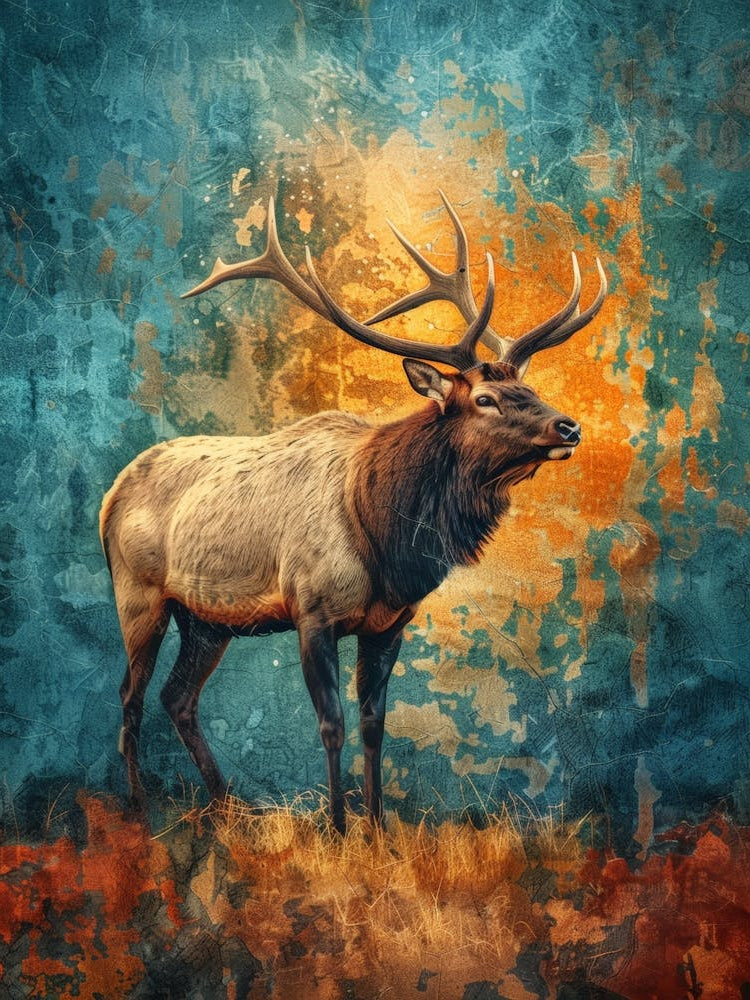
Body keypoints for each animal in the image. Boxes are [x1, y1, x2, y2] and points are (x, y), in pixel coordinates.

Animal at [100, 191, 607, 833]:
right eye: (485, 399)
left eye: (531, 389)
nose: (569, 426)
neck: (383, 538)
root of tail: (109, 495)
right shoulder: (311, 610)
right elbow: (331, 725)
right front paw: (339, 831)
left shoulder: (389, 623)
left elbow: (373, 728)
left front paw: (378, 830)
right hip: (138, 594)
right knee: (130, 697)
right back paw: (140, 813)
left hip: (207, 620)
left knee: (178, 697)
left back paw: (228, 808)